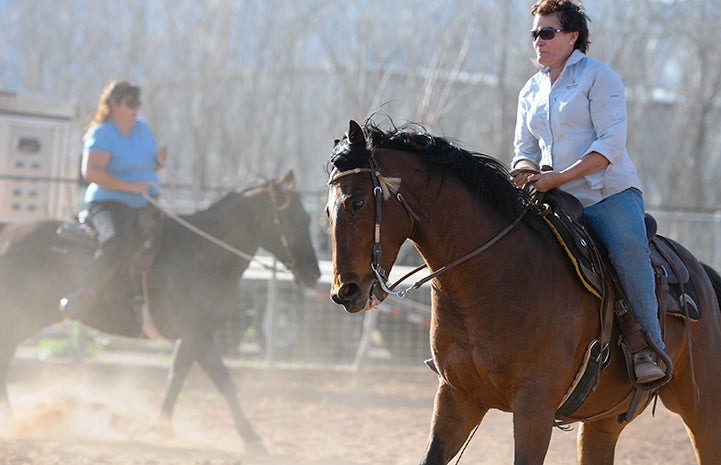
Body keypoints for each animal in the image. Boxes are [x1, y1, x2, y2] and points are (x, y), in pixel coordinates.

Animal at [0, 169, 318, 450]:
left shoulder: (192, 337)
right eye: (293, 218)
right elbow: (223, 380)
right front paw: (251, 438)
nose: (313, 274)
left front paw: (160, 429)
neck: (202, 254)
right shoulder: (197, 332)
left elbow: (175, 379)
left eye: (307, 217)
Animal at [324, 120, 720, 464]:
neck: (494, 279)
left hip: (702, 410)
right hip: (603, 422)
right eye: (327, 210)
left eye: (357, 202)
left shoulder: (534, 408)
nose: (346, 291)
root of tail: (700, 272)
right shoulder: (457, 398)